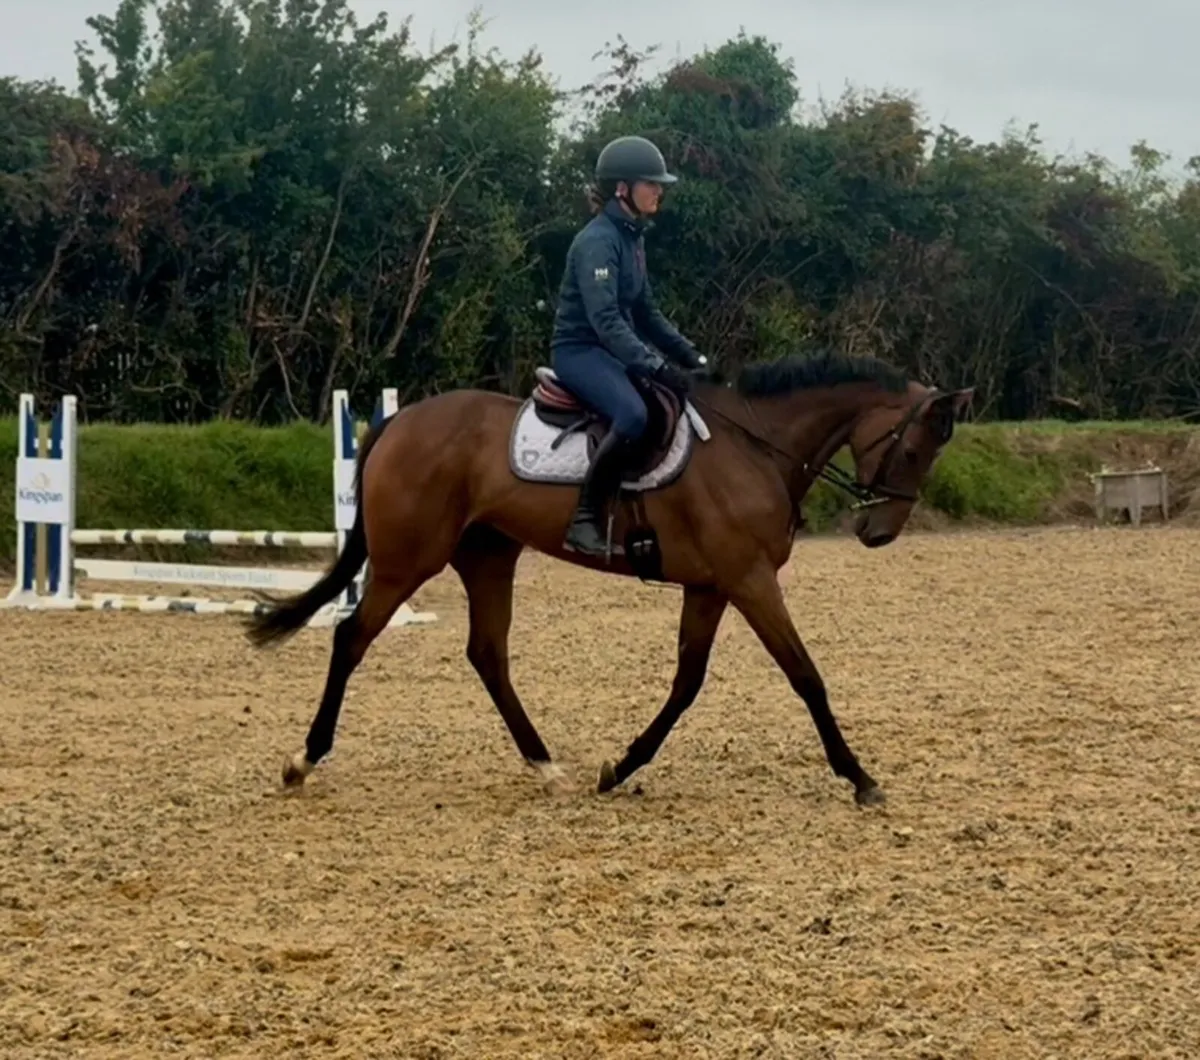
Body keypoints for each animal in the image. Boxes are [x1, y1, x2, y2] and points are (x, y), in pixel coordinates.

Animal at [244, 350, 973, 806]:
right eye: (913, 448)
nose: (879, 532)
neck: (756, 445)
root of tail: (400, 421)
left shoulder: (712, 586)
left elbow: (686, 684)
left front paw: (619, 767)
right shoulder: (749, 579)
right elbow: (805, 676)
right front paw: (859, 776)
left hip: (489, 555)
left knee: (487, 655)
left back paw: (546, 766)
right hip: (407, 560)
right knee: (352, 637)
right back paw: (303, 760)